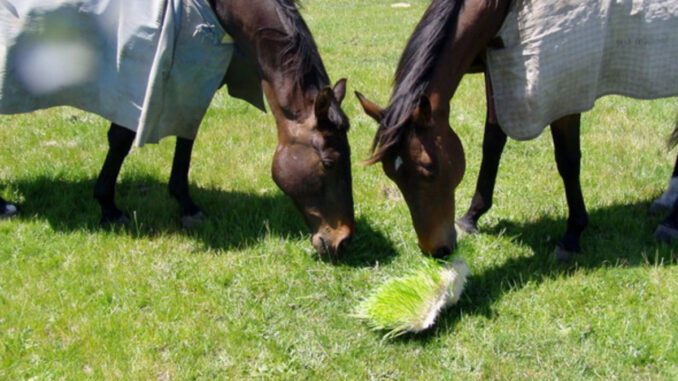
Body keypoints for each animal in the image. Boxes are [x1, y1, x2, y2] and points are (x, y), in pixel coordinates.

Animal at [0, 0, 358, 258]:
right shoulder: (140, 83)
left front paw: (186, 205)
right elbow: (122, 139)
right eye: (329, 162)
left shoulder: (194, 80)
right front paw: (109, 207)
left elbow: (186, 135)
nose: (343, 241)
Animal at [358, 0, 676, 260]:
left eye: (429, 170)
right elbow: (492, 143)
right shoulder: (497, 72)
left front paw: (572, 235)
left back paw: (670, 223)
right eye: (392, 174)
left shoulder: (564, 84)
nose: (437, 250)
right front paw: (473, 216)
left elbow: (567, 161)